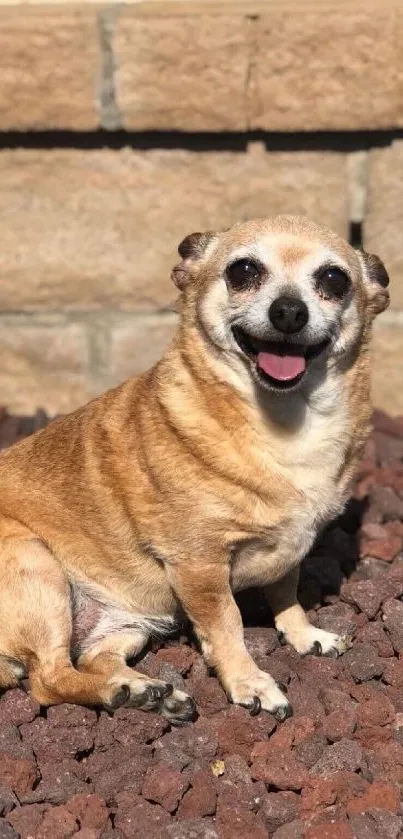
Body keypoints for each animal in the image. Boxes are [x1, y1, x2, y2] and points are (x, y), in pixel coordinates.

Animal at [0, 215, 390, 720]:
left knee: (91, 658)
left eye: (333, 279)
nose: (289, 311)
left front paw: (304, 635)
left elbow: (287, 591)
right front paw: (250, 682)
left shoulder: (289, 553)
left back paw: (143, 690)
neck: (286, 423)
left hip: (125, 626)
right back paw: (118, 692)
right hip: (37, 564)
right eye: (243, 271)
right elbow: (228, 625)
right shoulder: (199, 566)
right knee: (48, 679)